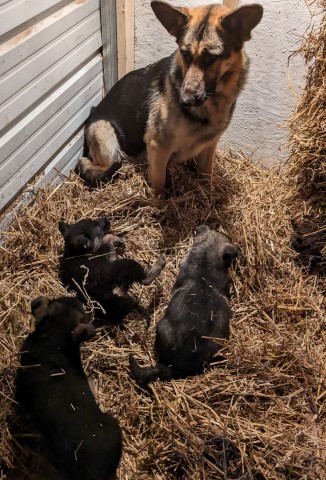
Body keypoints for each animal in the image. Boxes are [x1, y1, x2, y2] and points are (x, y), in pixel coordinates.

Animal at [77, 0, 264, 191]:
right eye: (186, 53)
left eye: (211, 57)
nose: (185, 100)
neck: (213, 103)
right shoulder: (158, 147)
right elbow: (159, 185)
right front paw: (159, 197)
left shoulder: (208, 148)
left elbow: (207, 178)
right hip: (103, 129)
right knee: (102, 166)